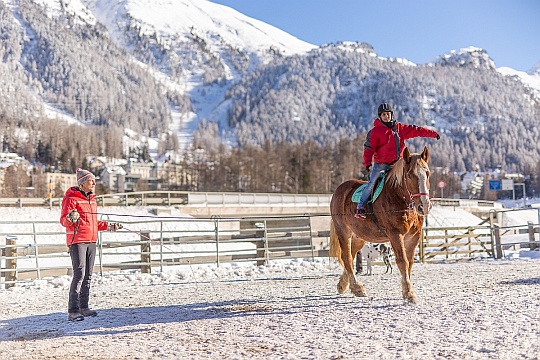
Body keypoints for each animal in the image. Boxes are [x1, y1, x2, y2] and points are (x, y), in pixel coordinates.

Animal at [330, 146, 430, 304]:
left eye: (427, 173)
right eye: (409, 175)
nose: (423, 206)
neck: (399, 198)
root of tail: (340, 190)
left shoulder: (413, 237)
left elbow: (410, 262)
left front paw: (407, 290)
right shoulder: (395, 235)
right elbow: (402, 261)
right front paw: (409, 293)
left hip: (358, 237)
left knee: (350, 256)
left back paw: (344, 284)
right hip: (343, 232)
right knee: (347, 257)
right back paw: (356, 287)